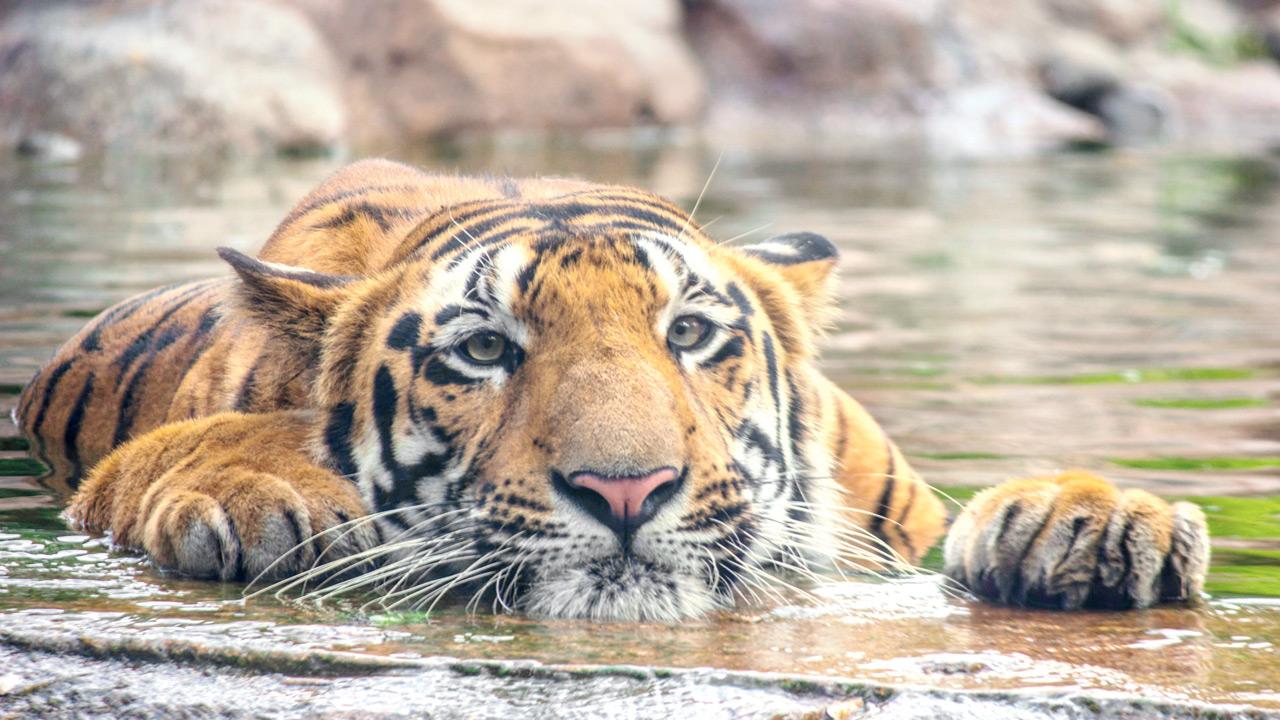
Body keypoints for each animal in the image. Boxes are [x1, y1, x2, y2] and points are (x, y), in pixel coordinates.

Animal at [14, 159, 1210, 621]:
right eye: (483, 352)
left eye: (688, 334)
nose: (626, 494)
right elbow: (177, 455)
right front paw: (266, 492)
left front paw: (1091, 522)